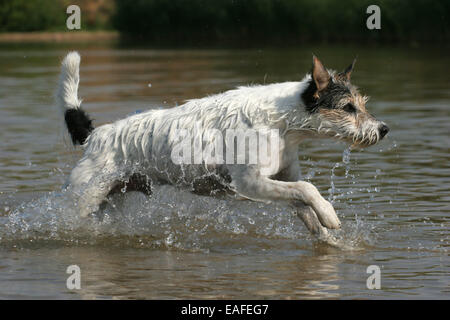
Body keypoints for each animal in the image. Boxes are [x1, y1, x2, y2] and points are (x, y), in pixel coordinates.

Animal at [55, 52, 386, 240]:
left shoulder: (281, 179)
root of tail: (96, 136)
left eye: (362, 104)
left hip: (113, 200)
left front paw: (329, 239)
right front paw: (330, 214)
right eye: (347, 107)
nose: (383, 129)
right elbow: (308, 189)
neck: (281, 122)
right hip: (83, 199)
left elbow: (304, 205)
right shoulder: (250, 183)